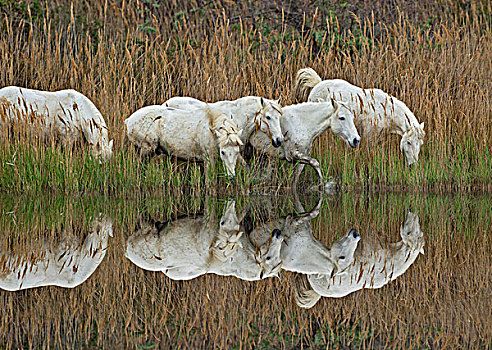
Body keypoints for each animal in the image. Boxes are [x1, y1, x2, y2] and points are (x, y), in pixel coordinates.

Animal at [294, 69, 424, 166]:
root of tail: (318, 83)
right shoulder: (369, 136)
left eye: (420, 144)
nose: (413, 165)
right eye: (408, 142)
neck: (387, 110)